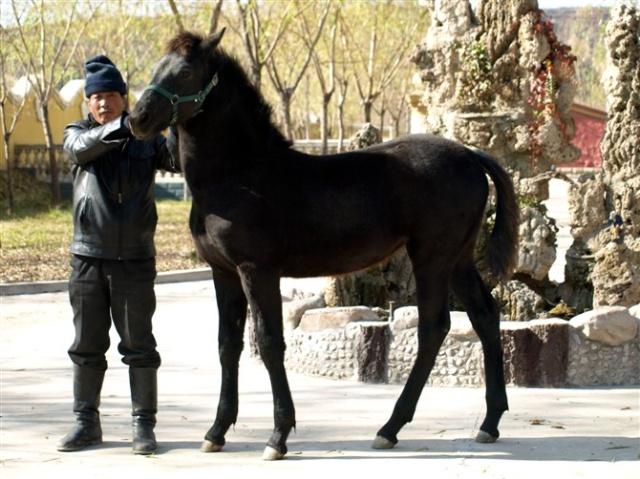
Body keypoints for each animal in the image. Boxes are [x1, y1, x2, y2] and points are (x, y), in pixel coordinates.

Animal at [129, 29, 519, 461]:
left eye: (186, 71)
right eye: (156, 67)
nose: (137, 119)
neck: (239, 175)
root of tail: (470, 153)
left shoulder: (257, 271)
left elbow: (269, 343)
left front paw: (278, 437)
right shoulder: (224, 272)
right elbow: (227, 344)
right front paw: (216, 432)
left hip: (432, 257)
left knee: (435, 327)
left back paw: (391, 427)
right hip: (458, 258)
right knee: (484, 315)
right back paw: (489, 422)